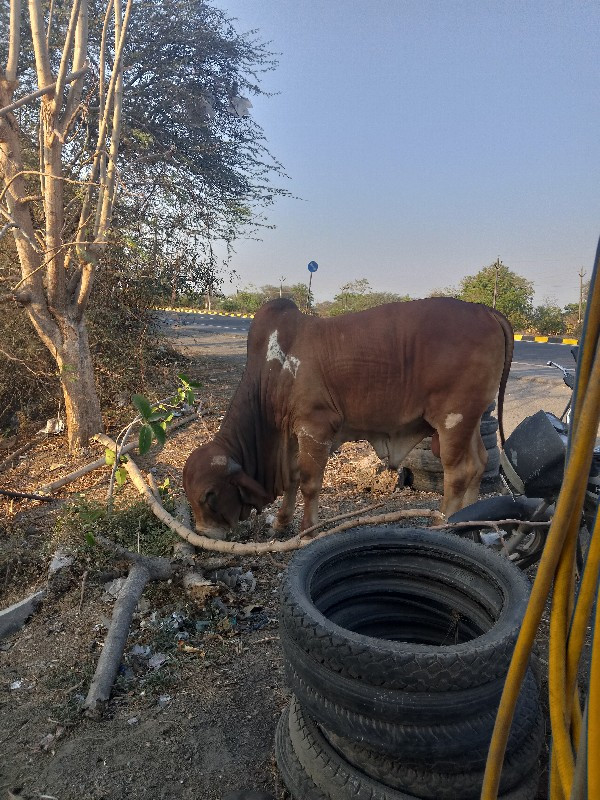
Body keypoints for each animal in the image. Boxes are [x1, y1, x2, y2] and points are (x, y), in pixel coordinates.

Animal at [182, 296, 510, 540]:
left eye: (209, 496)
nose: (203, 534)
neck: (272, 371)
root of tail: (487, 311)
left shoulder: (315, 426)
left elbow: (309, 482)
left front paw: (308, 531)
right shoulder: (292, 432)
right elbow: (292, 478)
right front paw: (281, 522)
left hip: (453, 419)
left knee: (459, 472)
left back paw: (442, 525)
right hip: (470, 420)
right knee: (479, 463)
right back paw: (470, 522)